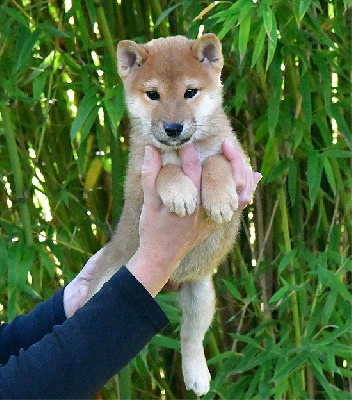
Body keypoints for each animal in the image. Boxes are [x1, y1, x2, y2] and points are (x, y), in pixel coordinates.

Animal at [88, 34, 248, 396]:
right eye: (153, 94)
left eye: (190, 92)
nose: (174, 128)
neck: (182, 151)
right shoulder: (138, 181)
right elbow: (166, 172)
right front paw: (182, 192)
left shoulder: (236, 157)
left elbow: (215, 162)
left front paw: (219, 198)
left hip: (200, 294)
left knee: (191, 337)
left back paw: (197, 375)